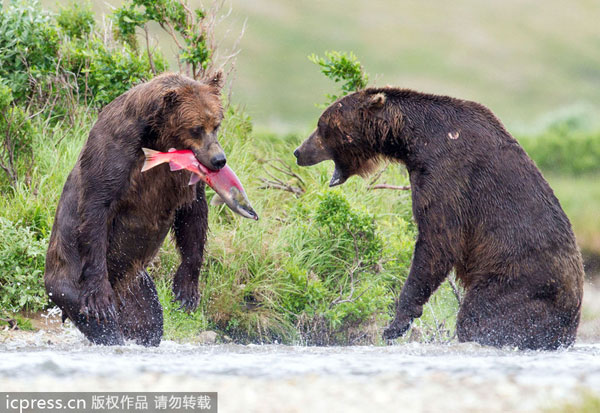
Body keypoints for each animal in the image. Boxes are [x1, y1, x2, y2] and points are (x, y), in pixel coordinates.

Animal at [44, 72, 227, 346]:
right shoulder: (115, 151)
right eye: (196, 128)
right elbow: (97, 207)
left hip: (137, 286)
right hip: (70, 282)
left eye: (216, 124)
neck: (159, 138)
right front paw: (99, 299)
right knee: (102, 324)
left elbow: (193, 214)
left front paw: (186, 291)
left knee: (149, 319)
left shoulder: (184, 174)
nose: (219, 160)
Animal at [296, 88, 584, 350]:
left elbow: (438, 240)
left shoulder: (447, 173)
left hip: (518, 279)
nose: (298, 151)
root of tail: (573, 316)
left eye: (322, 126)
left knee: (480, 314)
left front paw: (396, 323)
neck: (413, 139)